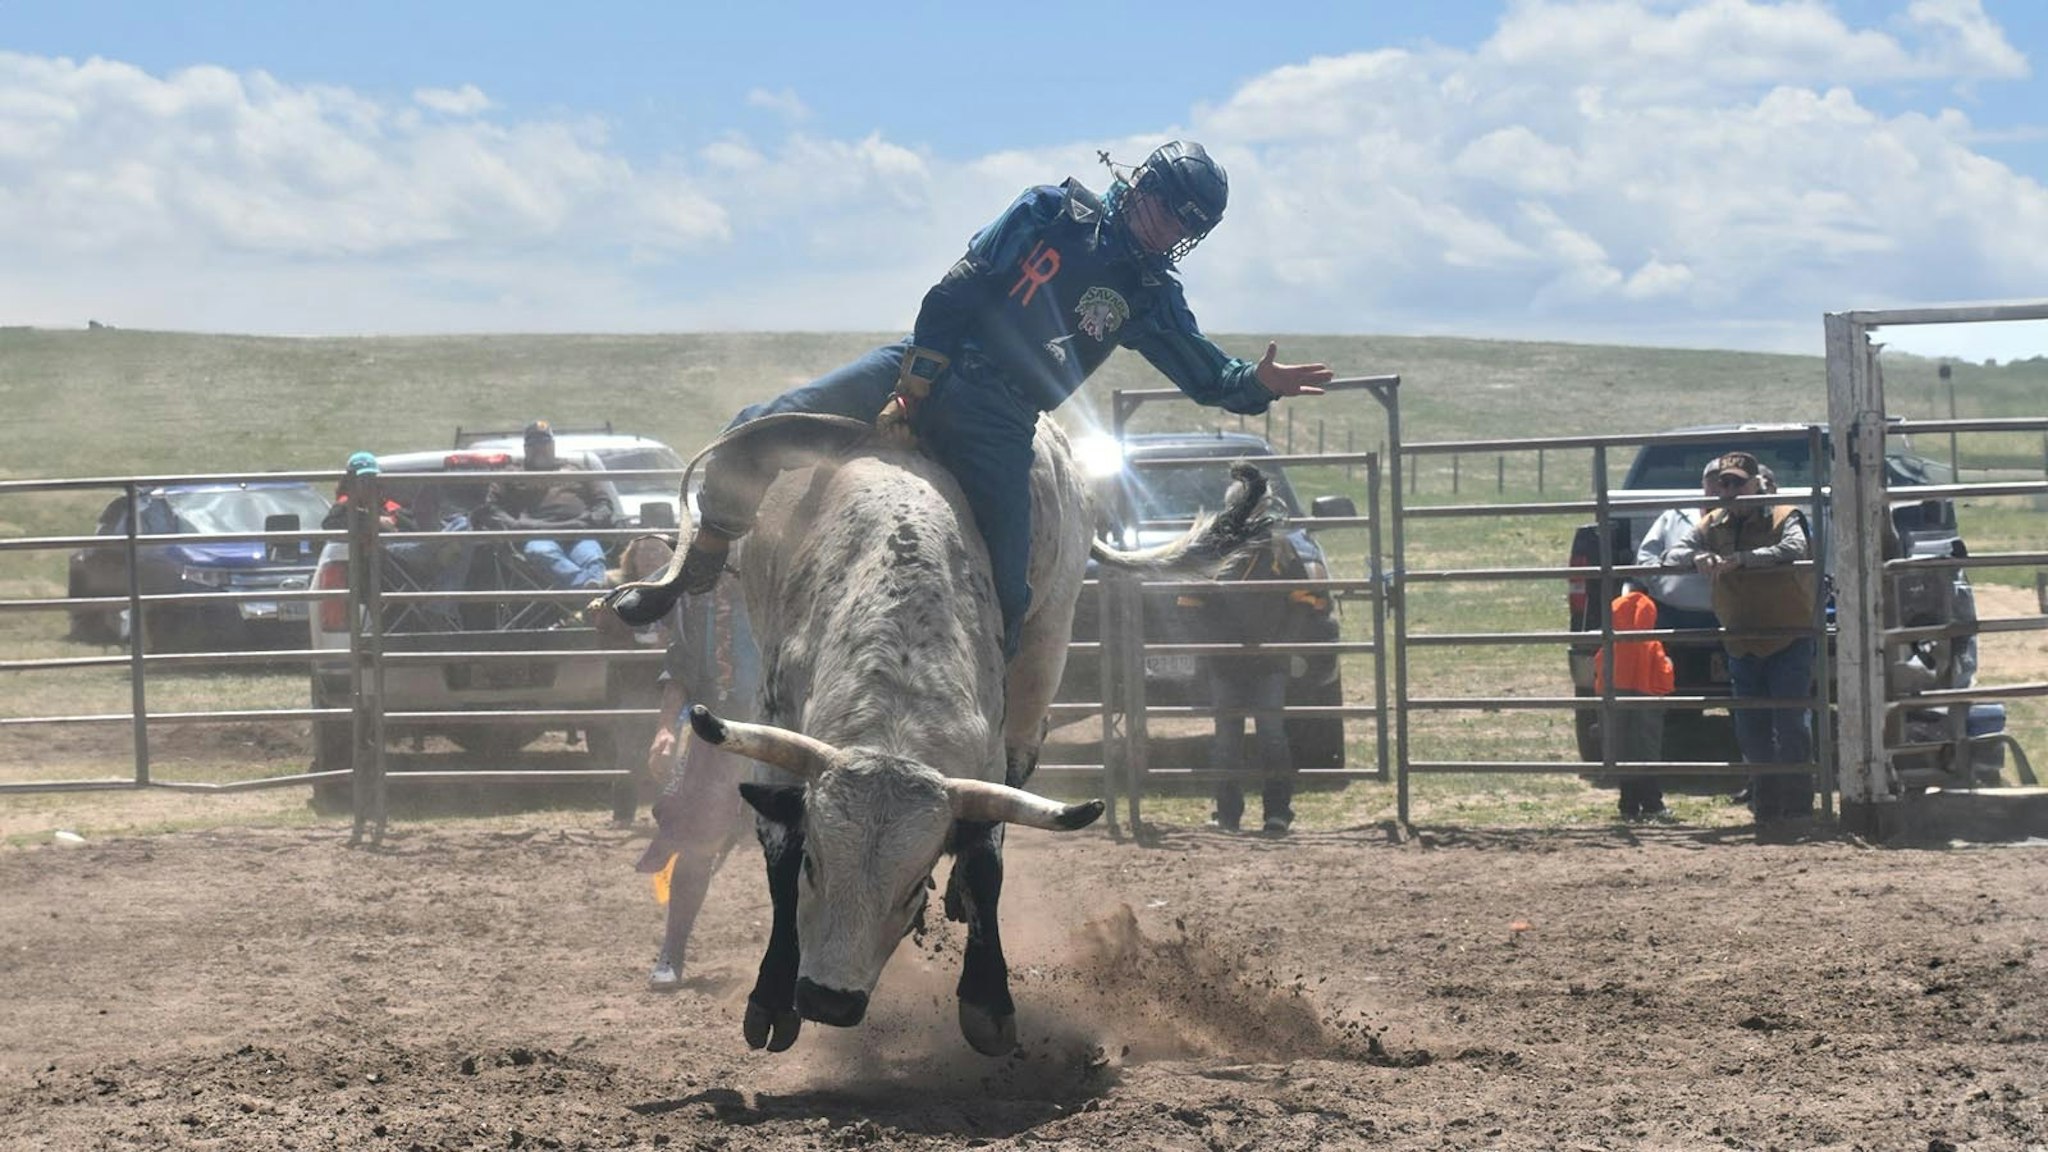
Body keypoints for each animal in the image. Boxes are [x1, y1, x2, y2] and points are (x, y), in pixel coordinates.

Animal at [676, 413, 1268, 1056]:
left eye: (912, 886)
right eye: (816, 864)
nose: (828, 1002)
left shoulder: (988, 754)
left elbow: (987, 865)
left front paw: (988, 1001)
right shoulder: (773, 730)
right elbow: (778, 858)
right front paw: (772, 996)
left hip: (1044, 653)